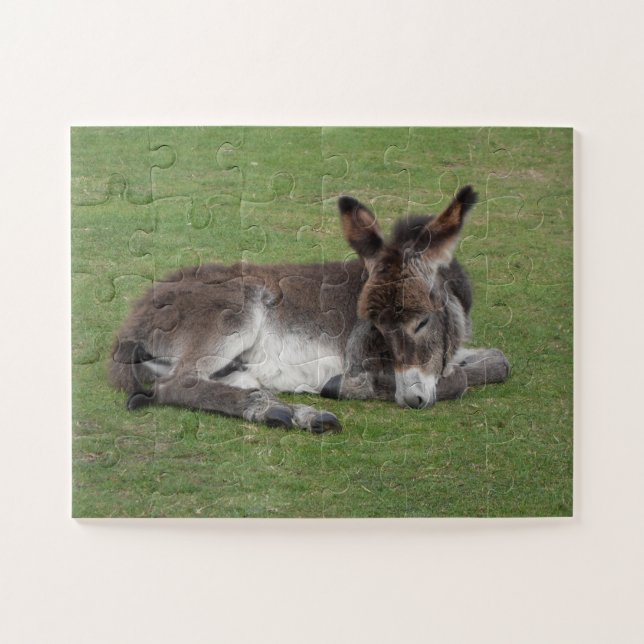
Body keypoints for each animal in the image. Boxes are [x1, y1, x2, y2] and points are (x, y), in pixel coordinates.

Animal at [110, 185, 509, 433]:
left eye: (423, 321)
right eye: (377, 327)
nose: (410, 400)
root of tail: (131, 323)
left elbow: (500, 361)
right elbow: (458, 381)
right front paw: (347, 386)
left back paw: (281, 406)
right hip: (232, 315)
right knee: (176, 384)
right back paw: (285, 412)